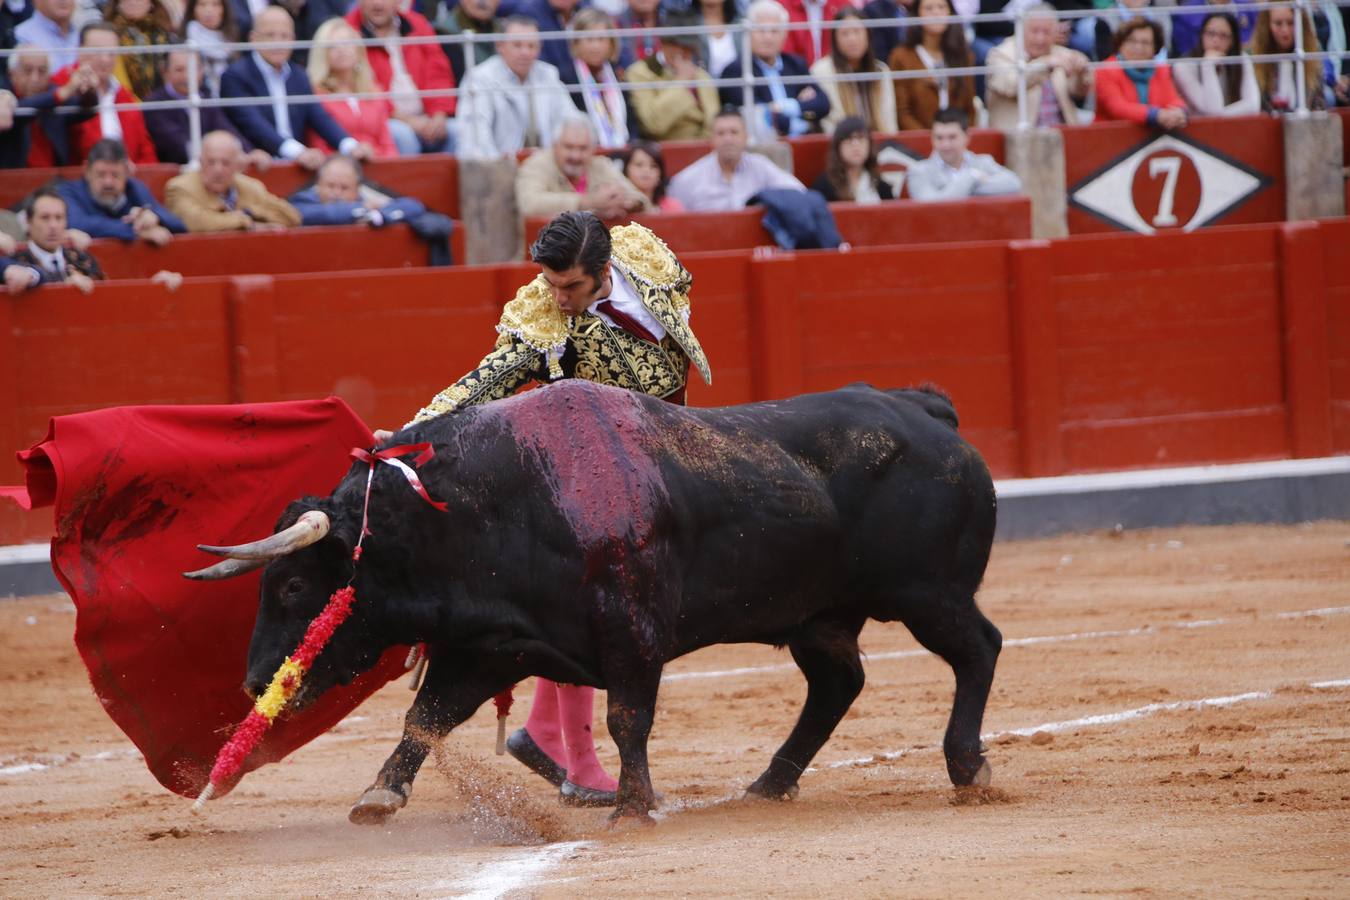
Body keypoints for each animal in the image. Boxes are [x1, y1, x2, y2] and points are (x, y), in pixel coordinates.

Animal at [229, 380, 1004, 825]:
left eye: (293, 586)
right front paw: (378, 796)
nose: (254, 681)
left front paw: (633, 806)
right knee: (838, 683)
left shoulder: (631, 631)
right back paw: (768, 783)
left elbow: (628, 717)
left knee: (979, 649)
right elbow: (426, 718)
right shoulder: (489, 645)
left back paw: (969, 770)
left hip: (928, 595)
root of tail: (926, 412)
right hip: (819, 616)